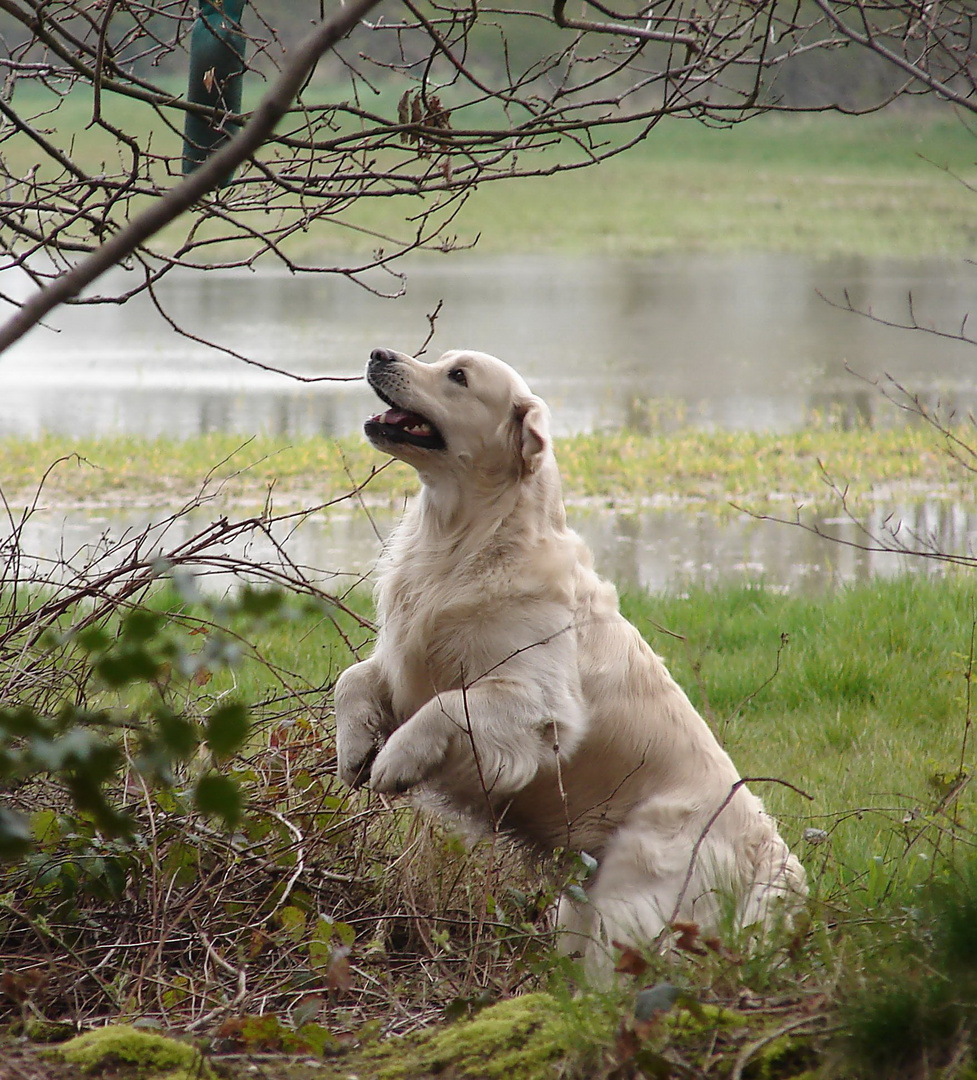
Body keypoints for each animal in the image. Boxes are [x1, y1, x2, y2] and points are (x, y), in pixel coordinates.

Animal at [332, 347, 803, 972]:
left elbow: (449, 705)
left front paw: (395, 760)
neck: (464, 540)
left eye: (458, 376)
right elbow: (353, 677)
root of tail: (764, 855)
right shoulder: (404, 661)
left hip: (629, 895)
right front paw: (355, 748)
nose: (378, 354)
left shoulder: (538, 706)